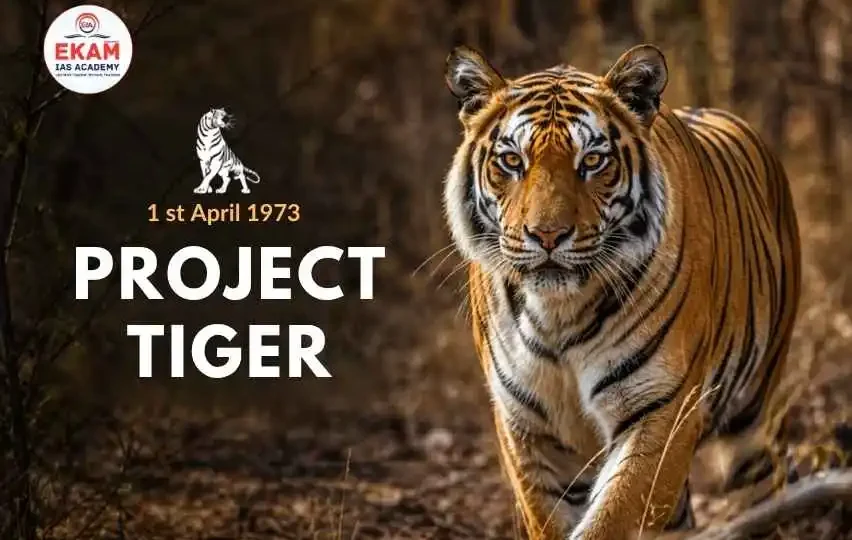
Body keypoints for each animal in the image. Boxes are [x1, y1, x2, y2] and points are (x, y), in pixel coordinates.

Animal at [442, 44, 801, 539]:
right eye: (512, 162)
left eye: (593, 161)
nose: (547, 235)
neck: (558, 312)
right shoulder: (526, 427)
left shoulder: (662, 409)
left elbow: (613, 517)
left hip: (754, 417)